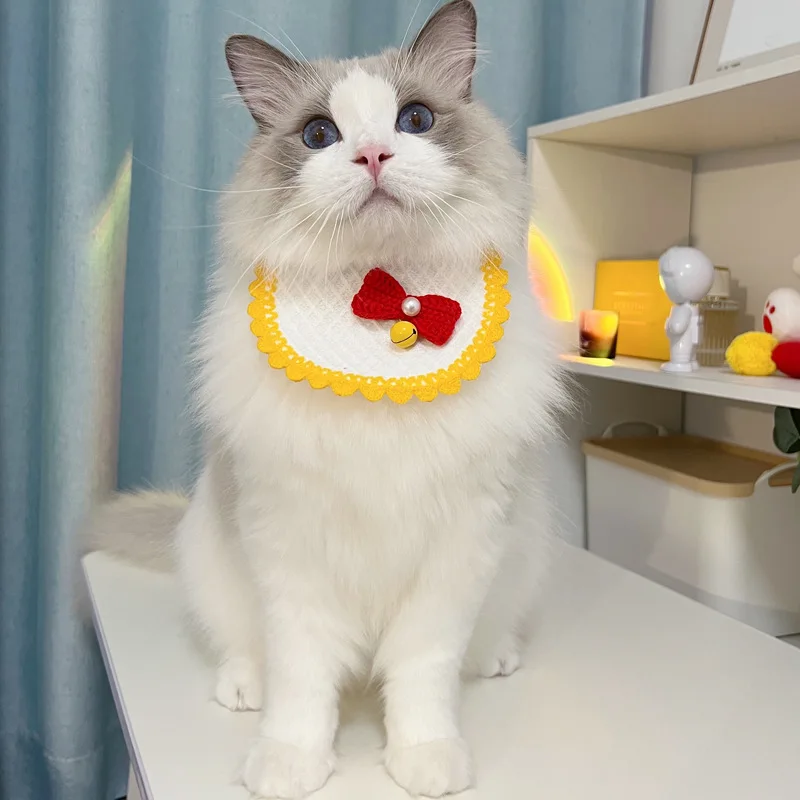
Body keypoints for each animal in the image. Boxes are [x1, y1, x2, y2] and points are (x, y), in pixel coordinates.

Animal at [89, 1, 567, 797]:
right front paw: (290, 763)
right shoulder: (291, 549)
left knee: (478, 646)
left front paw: (424, 760)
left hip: (518, 552)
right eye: (319, 135)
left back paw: (495, 659)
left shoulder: (457, 551)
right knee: (247, 649)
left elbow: (423, 675)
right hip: (214, 553)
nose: (372, 156)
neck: (384, 301)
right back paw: (241, 688)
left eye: (414, 120)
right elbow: (302, 680)